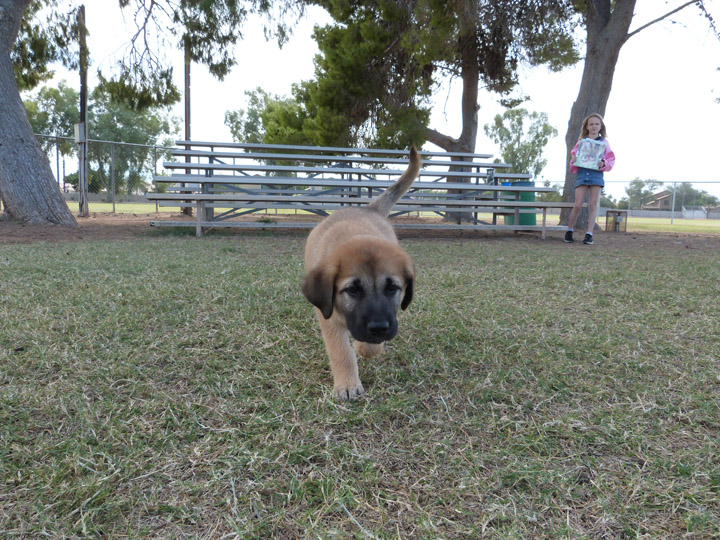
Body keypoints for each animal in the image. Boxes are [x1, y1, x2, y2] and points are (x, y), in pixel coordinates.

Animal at [300, 148, 422, 400]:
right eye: (353, 290)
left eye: (392, 288)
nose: (379, 327)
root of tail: (367, 209)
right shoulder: (328, 317)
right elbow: (341, 351)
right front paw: (347, 384)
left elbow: (368, 347)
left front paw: (366, 347)